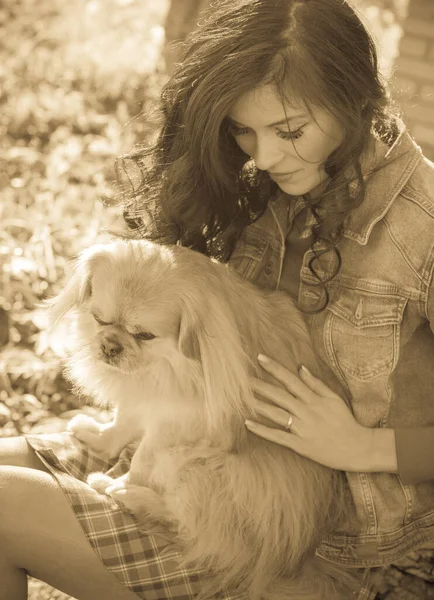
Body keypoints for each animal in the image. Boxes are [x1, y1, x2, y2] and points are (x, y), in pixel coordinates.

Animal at [50, 239, 356, 600]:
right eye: (100, 319)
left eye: (145, 335)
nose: (111, 346)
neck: (169, 365)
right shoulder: (149, 394)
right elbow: (123, 421)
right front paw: (100, 437)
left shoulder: (175, 422)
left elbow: (141, 460)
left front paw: (126, 480)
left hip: (195, 466)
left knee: (184, 523)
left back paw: (123, 492)